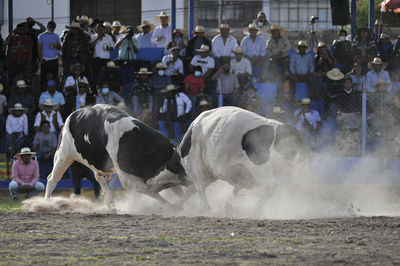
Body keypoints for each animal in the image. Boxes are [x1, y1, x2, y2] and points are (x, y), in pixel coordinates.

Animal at [44, 105, 185, 207]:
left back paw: (109, 201)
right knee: (52, 179)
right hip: (63, 156)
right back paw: (47, 203)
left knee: (100, 179)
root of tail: (72, 115)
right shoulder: (127, 179)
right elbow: (150, 191)